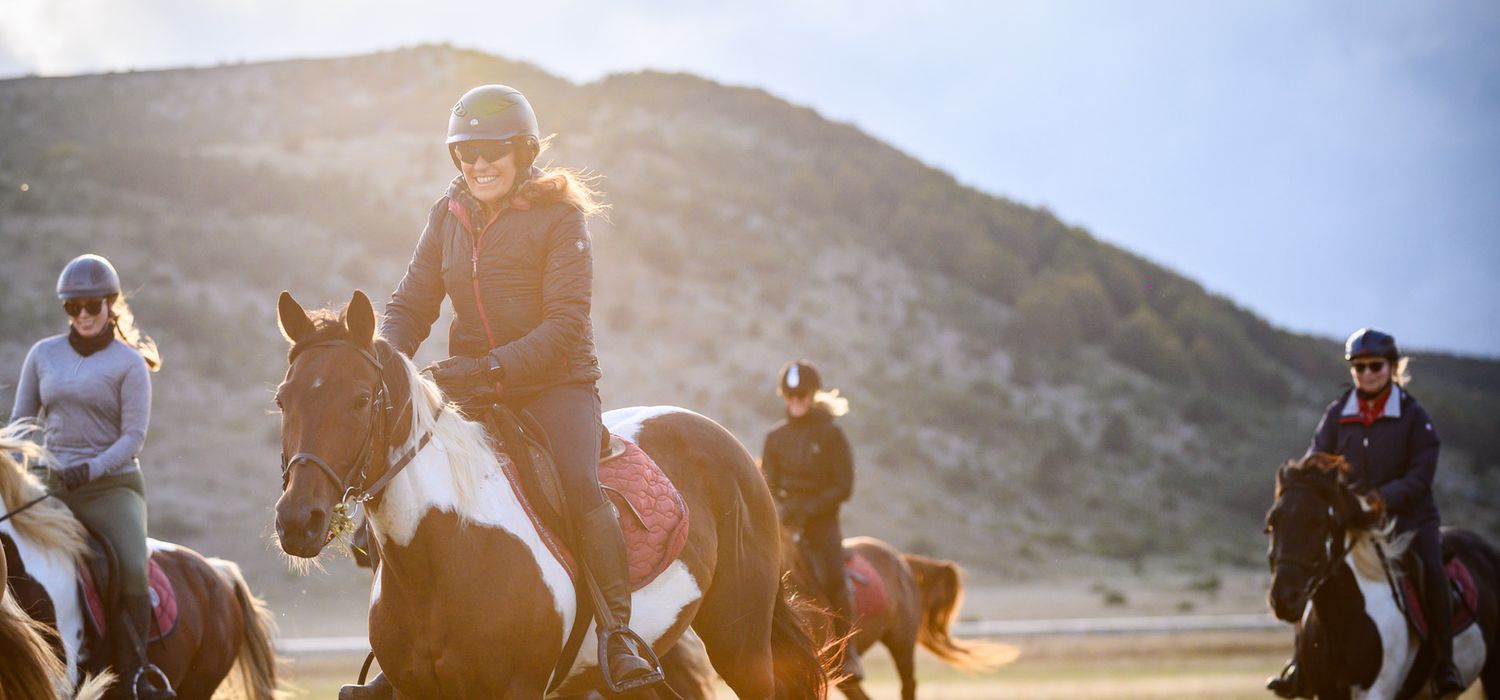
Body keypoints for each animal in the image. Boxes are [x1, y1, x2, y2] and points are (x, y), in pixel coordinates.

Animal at [1266, 452, 1500, 698]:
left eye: (1318, 522)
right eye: (1272, 523)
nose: (1284, 598)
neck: (1341, 618)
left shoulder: (1376, 691)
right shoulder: (1327, 692)